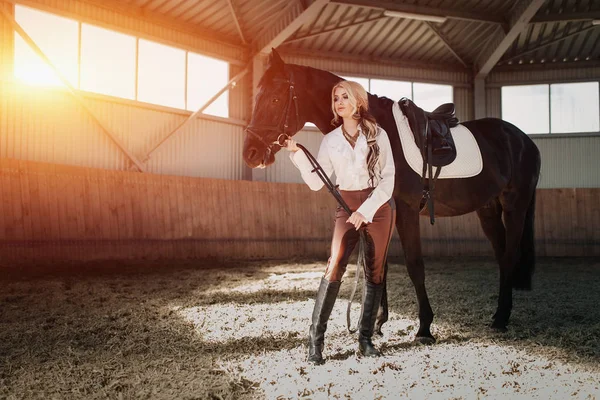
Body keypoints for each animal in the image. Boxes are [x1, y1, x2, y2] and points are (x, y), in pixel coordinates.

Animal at [241, 47, 540, 340]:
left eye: (275, 99)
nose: (250, 153)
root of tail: (523, 140)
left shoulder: (406, 209)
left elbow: (414, 265)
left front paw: (424, 328)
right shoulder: (378, 210)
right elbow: (378, 265)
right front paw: (376, 323)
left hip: (515, 206)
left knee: (509, 256)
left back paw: (501, 319)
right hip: (488, 209)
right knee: (502, 256)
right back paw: (499, 315)